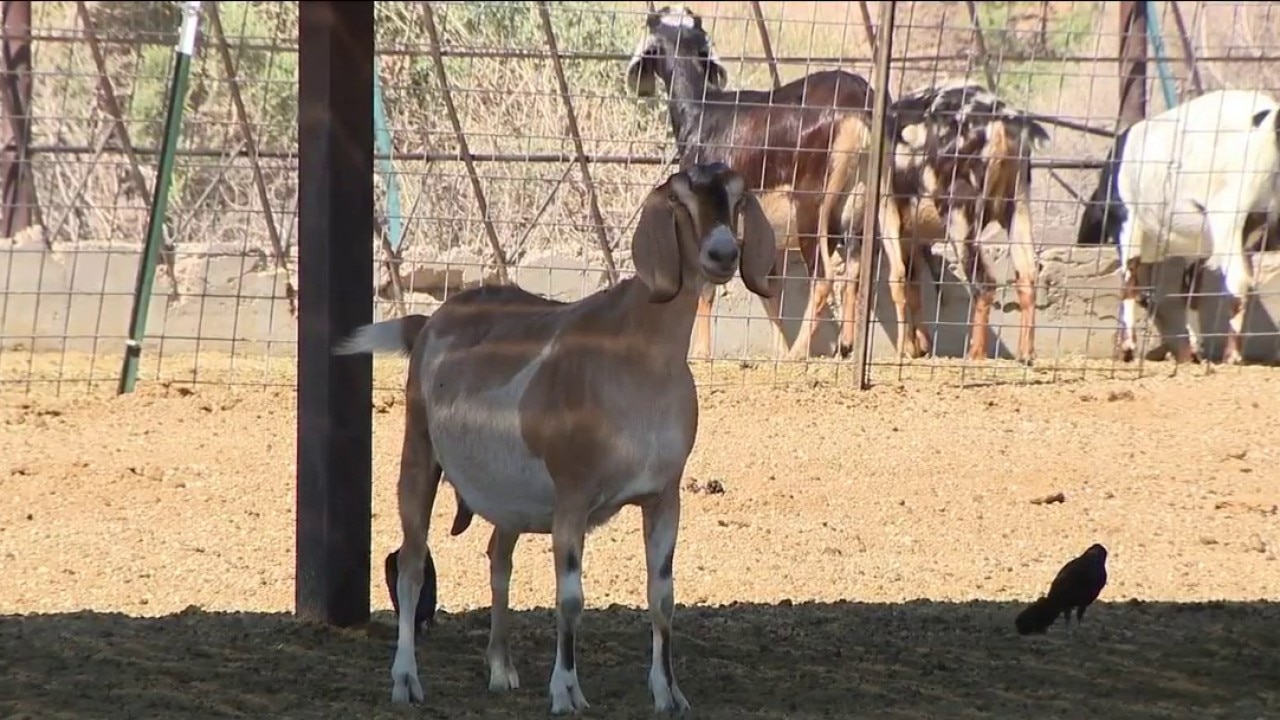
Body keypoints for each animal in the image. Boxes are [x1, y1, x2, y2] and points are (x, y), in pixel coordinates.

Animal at [333, 163, 776, 714]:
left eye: (737, 199)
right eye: (679, 200)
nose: (722, 254)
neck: (639, 357)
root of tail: (429, 321)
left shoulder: (664, 495)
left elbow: (663, 597)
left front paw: (669, 693)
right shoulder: (572, 496)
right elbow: (570, 598)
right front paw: (566, 691)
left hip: (509, 496)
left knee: (498, 558)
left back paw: (501, 669)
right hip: (419, 453)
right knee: (412, 566)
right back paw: (406, 681)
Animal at [627, 4, 884, 361]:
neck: (705, 113)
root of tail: (857, 102)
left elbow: (706, 287)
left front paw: (701, 354)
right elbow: (768, 290)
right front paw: (776, 349)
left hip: (812, 206)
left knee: (824, 277)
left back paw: (796, 356)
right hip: (857, 206)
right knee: (856, 271)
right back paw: (844, 347)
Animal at [877, 81, 1049, 364]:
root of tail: (1000, 119)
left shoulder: (888, 216)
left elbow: (898, 279)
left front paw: (904, 350)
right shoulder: (911, 233)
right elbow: (913, 285)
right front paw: (920, 346)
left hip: (960, 214)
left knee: (985, 282)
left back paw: (975, 354)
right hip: (1018, 205)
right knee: (1027, 275)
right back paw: (1026, 354)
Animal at [1076, 89, 1280, 365]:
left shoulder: (1128, 222)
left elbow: (1128, 280)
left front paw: (1127, 349)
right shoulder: (1197, 249)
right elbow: (1190, 294)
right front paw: (1195, 351)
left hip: (1228, 215)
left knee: (1239, 280)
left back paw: (1232, 355)